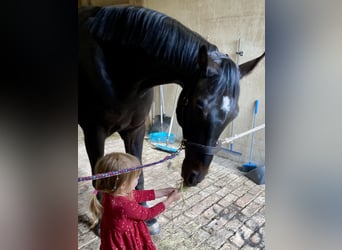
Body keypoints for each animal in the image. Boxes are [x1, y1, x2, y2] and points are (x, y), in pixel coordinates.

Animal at [79, 5, 264, 232]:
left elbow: (138, 172)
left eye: (234, 114)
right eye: (199, 105)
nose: (195, 177)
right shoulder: (94, 132)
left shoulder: (136, 130)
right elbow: (99, 179)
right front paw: (101, 221)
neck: (119, 68)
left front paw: (146, 215)